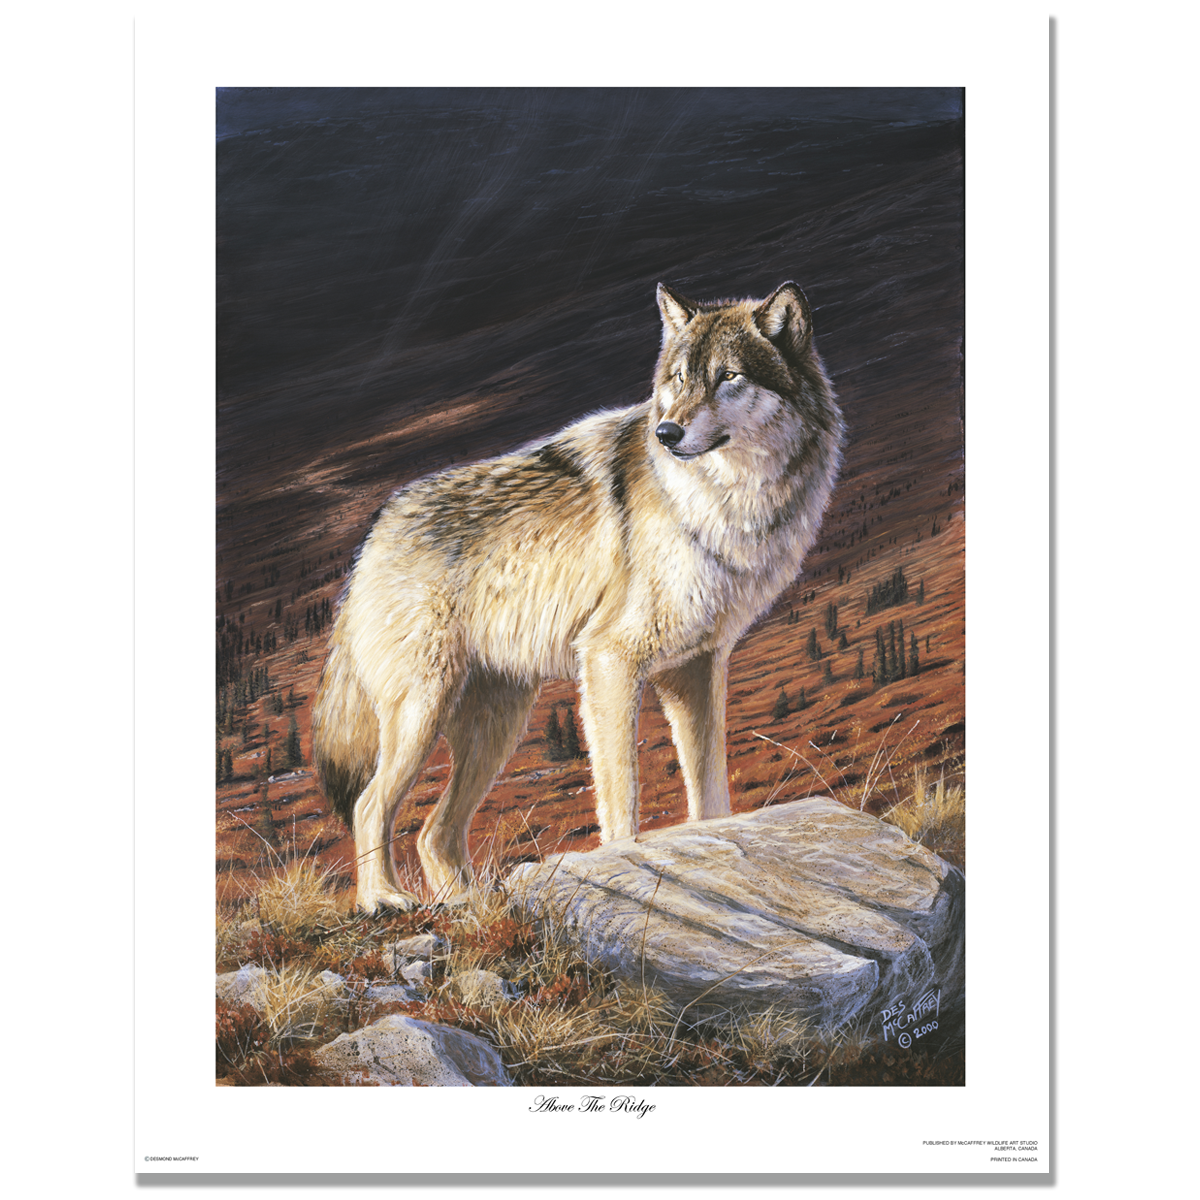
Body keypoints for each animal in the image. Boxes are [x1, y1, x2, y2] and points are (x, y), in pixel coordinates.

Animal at [313, 281, 845, 912]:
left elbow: (711, 792)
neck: (726, 505)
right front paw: (628, 865)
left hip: (497, 726)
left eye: (728, 377)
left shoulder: (696, 667)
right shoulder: (610, 658)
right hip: (423, 710)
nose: (666, 433)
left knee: (433, 832)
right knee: (370, 805)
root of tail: (375, 529)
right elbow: (621, 794)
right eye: (679, 377)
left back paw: (470, 905)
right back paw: (383, 899)